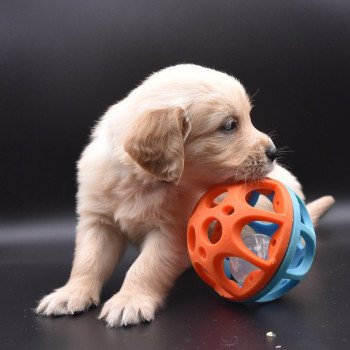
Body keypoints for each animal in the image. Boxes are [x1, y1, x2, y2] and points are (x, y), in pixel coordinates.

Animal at [35, 63, 334, 328]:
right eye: (229, 125)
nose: (272, 152)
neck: (142, 182)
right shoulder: (98, 222)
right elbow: (88, 261)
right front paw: (70, 293)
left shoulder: (170, 233)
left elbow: (145, 267)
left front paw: (129, 300)